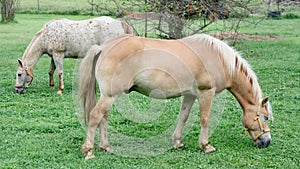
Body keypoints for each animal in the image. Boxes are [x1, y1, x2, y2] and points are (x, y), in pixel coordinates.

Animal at [78, 34, 274, 160]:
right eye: (264, 117)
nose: (266, 142)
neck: (219, 59)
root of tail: (102, 47)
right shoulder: (206, 93)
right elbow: (205, 119)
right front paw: (206, 145)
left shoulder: (189, 95)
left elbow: (184, 116)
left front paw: (177, 142)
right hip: (110, 95)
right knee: (95, 116)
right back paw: (89, 151)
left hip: (108, 95)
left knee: (103, 117)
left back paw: (105, 147)